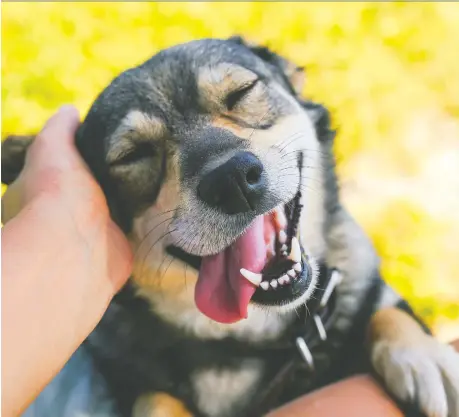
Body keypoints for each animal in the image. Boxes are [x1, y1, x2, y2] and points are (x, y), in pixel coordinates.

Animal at [3, 36, 459, 416]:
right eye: (133, 155)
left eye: (242, 92)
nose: (232, 180)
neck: (271, 339)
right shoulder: (133, 378)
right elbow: (155, 398)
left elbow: (389, 313)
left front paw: (427, 357)